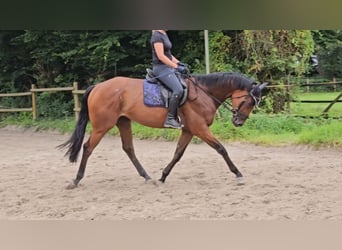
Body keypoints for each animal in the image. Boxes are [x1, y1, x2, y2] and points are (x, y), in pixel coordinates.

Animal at [58, 71, 268, 188]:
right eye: (250, 101)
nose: (238, 122)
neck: (204, 93)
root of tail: (98, 86)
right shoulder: (199, 129)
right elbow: (221, 149)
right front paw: (238, 174)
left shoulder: (189, 130)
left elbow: (177, 154)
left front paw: (162, 177)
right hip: (102, 126)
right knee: (88, 148)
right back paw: (76, 180)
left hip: (123, 122)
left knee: (128, 148)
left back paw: (147, 177)